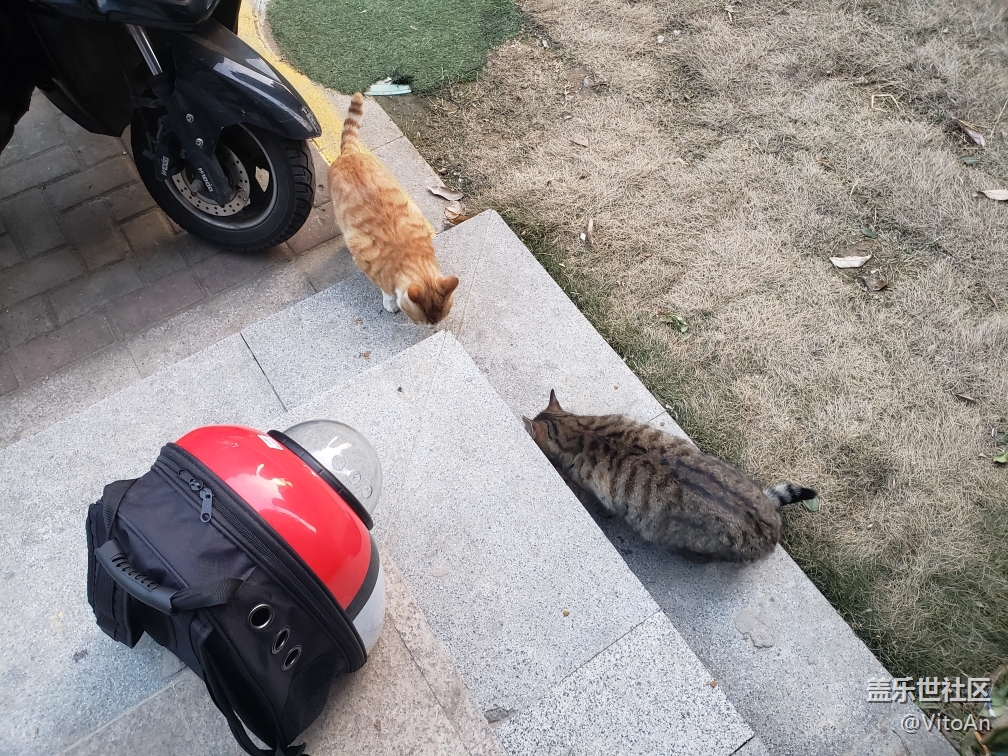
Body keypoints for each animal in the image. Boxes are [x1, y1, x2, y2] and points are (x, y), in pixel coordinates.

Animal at [327, 93, 459, 325]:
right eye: (422, 322)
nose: (433, 327)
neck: (409, 254)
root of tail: (349, 153)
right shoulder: (366, 263)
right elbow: (386, 289)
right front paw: (390, 302)